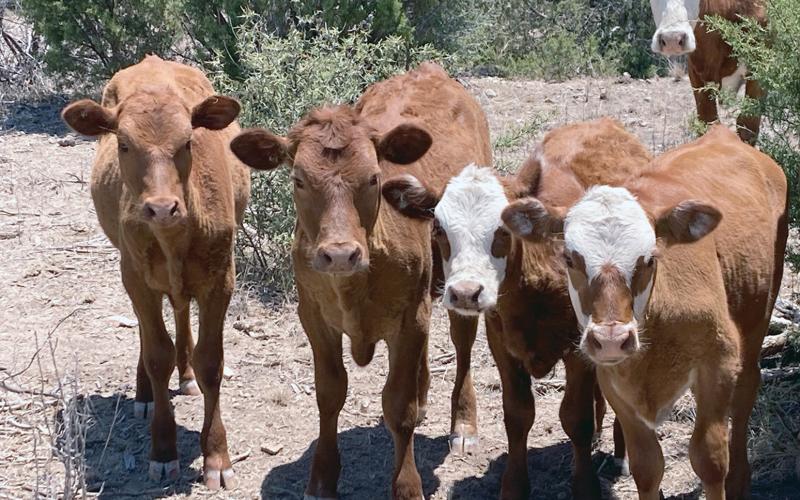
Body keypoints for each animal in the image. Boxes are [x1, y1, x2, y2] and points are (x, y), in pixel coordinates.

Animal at [61, 55, 250, 490]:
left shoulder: (221, 278)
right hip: (130, 270)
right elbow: (156, 354)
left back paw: (186, 374)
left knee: (180, 311)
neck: (174, 239)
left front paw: (217, 455)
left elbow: (211, 361)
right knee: (149, 333)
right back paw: (146, 392)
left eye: (187, 143)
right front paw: (162, 450)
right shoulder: (136, 278)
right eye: (124, 144)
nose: (162, 208)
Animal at [229, 62, 492, 499]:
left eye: (373, 177)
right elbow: (329, 393)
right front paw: (321, 478)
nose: (339, 254)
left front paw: (406, 485)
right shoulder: (314, 316)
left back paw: (465, 424)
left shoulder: (409, 318)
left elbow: (398, 406)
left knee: (464, 344)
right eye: (298, 179)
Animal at [381, 118, 651, 498]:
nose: (465, 293)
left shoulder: (578, 346)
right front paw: (514, 485)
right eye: (438, 229)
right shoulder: (502, 340)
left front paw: (585, 484)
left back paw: (621, 449)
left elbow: (576, 418)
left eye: (503, 230)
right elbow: (518, 415)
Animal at [502, 124, 788, 499]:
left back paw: (740, 479)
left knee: (746, 392)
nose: (611, 338)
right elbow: (647, 468)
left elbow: (710, 461)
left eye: (650, 258)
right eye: (569, 258)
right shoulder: (613, 380)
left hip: (757, 321)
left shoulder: (718, 363)